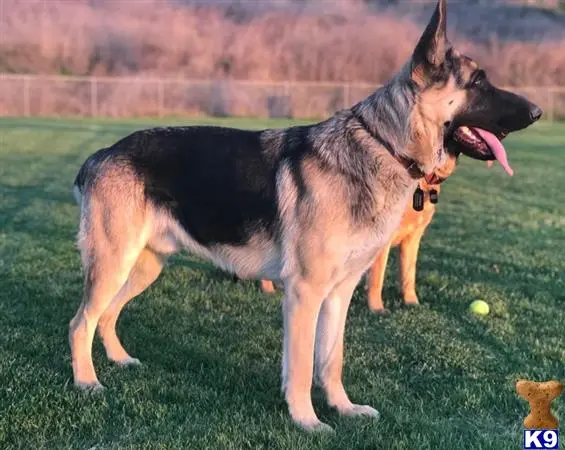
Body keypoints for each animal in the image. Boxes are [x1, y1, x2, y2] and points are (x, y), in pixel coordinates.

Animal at [68, 0, 540, 432]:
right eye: (478, 82)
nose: (537, 112)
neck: (383, 145)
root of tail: (102, 153)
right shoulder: (304, 294)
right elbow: (299, 367)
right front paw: (307, 421)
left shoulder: (339, 294)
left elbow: (330, 360)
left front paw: (343, 408)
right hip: (114, 264)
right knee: (80, 322)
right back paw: (87, 382)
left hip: (144, 266)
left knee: (105, 316)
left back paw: (119, 360)